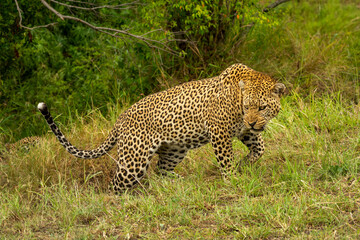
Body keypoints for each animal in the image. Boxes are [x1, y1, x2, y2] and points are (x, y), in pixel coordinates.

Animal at [37, 63, 286, 193]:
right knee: (116, 184)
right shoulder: (220, 132)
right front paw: (233, 179)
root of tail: (120, 119)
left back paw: (181, 182)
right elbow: (226, 160)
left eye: (262, 107)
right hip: (133, 161)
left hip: (176, 149)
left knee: (161, 169)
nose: (252, 121)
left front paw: (245, 164)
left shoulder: (244, 131)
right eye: (247, 106)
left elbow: (259, 148)